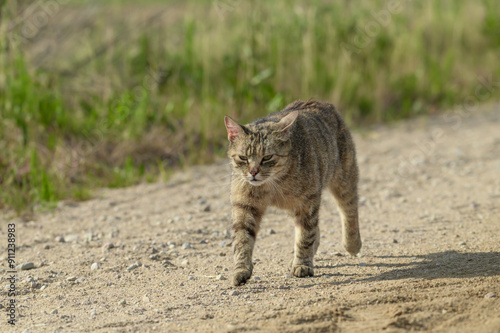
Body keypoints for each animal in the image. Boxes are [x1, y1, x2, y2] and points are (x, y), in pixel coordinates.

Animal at [225, 99, 362, 286]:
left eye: (267, 157)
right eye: (243, 158)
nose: (253, 172)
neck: (271, 185)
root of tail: (319, 101)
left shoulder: (307, 203)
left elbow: (305, 236)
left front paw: (302, 265)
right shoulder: (244, 206)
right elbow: (242, 239)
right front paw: (241, 270)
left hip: (344, 180)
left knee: (349, 210)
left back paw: (352, 244)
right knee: (317, 229)